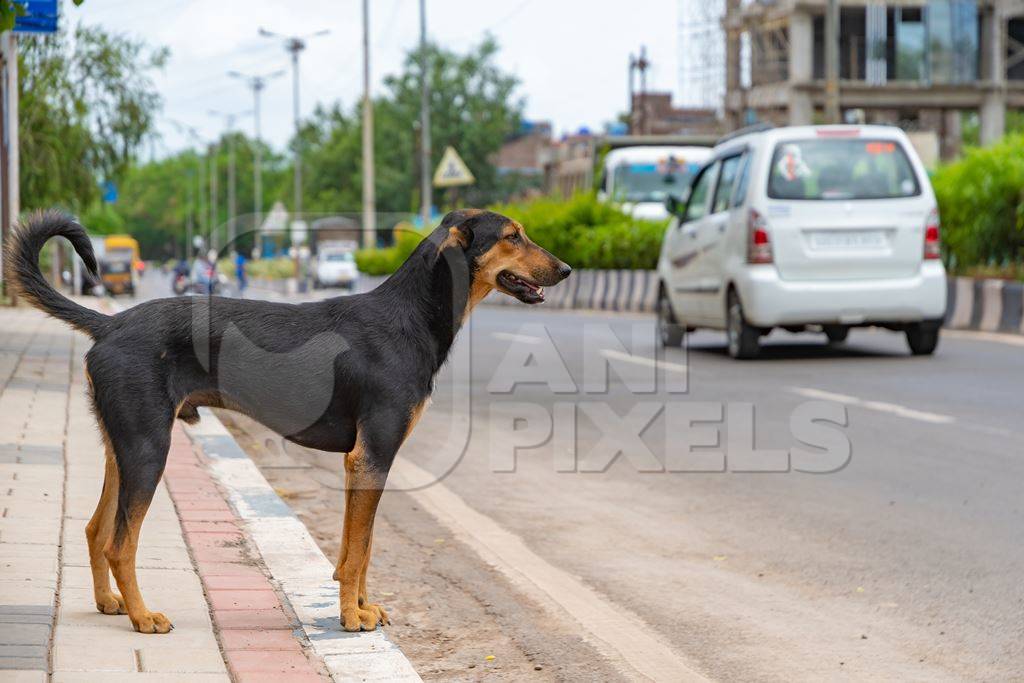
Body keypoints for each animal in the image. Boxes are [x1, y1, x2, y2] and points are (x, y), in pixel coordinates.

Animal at [4, 209, 573, 634]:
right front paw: (350, 618)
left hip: (121, 446)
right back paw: (144, 617)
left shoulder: (365, 465)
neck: (410, 318)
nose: (567, 269)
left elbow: (359, 549)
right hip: (148, 449)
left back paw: (110, 603)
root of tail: (110, 323)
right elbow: (358, 551)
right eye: (512, 236)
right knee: (121, 543)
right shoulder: (371, 456)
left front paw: (362, 607)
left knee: (95, 529)